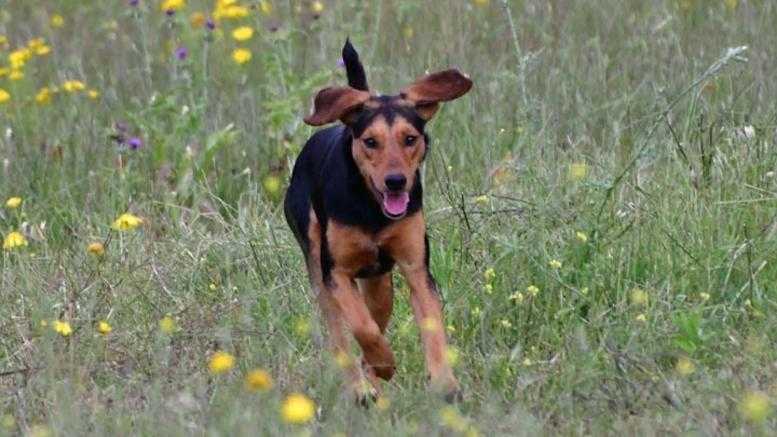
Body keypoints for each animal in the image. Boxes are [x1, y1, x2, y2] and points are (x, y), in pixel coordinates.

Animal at [284, 39, 472, 402]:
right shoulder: (336, 273)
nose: (396, 182)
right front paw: (384, 362)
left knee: (378, 312)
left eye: (410, 139)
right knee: (340, 336)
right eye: (371, 142)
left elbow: (432, 328)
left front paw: (445, 383)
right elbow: (362, 326)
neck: (372, 211)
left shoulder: (416, 269)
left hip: (379, 282)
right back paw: (360, 388)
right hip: (318, 270)